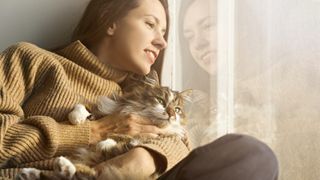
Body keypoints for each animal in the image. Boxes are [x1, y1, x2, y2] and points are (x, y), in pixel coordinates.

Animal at [16, 73, 192, 180]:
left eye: (177, 109)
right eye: (161, 101)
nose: (171, 114)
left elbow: (121, 140)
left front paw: (106, 143)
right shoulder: (106, 109)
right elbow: (82, 107)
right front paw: (77, 119)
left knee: (83, 174)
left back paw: (59, 166)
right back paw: (31, 172)